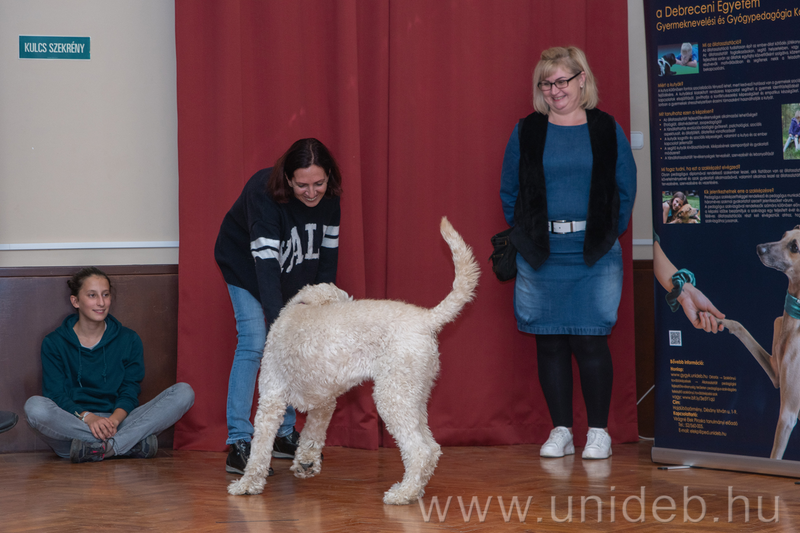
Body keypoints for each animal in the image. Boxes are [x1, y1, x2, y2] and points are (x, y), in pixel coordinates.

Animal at [228, 217, 480, 504]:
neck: (303, 308)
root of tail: (426, 319)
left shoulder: (271, 400)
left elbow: (260, 449)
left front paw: (248, 483)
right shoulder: (324, 402)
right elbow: (312, 434)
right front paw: (306, 462)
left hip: (393, 396)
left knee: (420, 450)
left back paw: (402, 493)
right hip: (413, 396)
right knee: (433, 447)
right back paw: (415, 490)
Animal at [721, 226, 800, 459]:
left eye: (795, 247)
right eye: (783, 235)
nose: (759, 248)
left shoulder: (788, 414)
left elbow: (775, 457)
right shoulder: (775, 373)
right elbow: (741, 328)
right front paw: (717, 319)